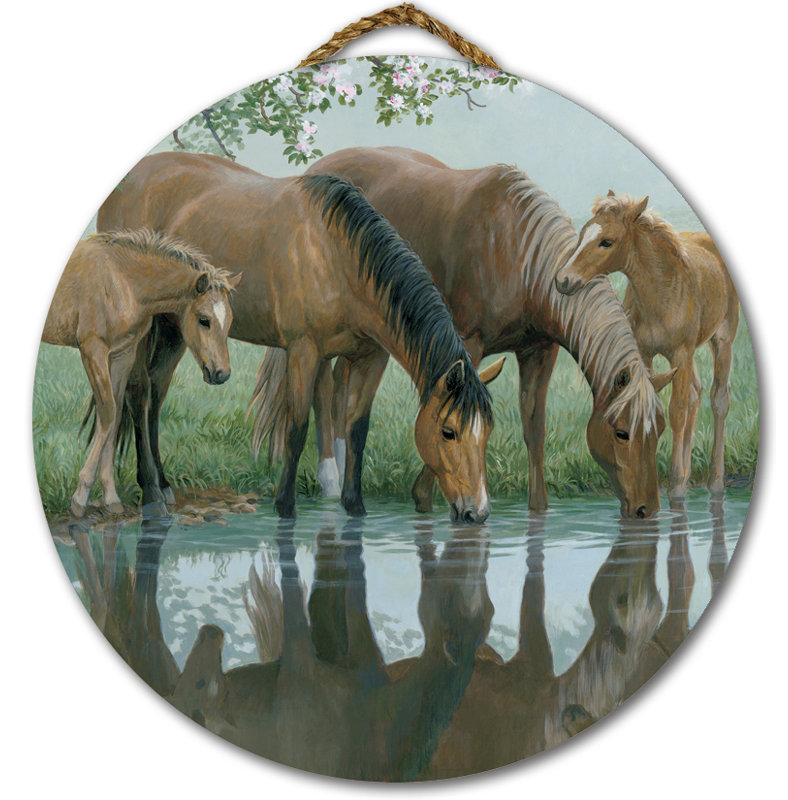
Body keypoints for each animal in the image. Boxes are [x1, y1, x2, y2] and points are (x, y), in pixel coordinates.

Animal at [41, 229, 239, 517]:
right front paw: (79, 498)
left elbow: (113, 418)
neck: (121, 281)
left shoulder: (123, 354)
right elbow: (108, 413)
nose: (222, 374)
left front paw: (111, 497)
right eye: (204, 320)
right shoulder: (92, 349)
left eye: (230, 321)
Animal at [97, 152, 505, 522]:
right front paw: (285, 507)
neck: (337, 257)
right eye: (448, 431)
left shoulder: (371, 357)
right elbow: (297, 428)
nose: (478, 512)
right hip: (145, 328)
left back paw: (165, 486)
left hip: (175, 328)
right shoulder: (304, 351)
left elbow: (357, 429)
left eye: (487, 432)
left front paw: (354, 506)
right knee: (138, 393)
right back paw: (151, 493)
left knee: (156, 393)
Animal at [256, 146, 675, 518]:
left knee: (344, 384)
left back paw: (345, 471)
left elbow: (533, 428)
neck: (519, 253)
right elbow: (450, 410)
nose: (646, 509)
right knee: (323, 386)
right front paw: (426, 497)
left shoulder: (539, 351)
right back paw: (329, 477)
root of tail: (315, 169)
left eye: (659, 431)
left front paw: (538, 509)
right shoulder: (466, 343)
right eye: (621, 432)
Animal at [554, 191, 739, 496]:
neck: (661, 292)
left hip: (721, 340)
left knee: (718, 399)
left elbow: (676, 412)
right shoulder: (646, 353)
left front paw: (675, 486)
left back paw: (714, 481)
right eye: (582, 235)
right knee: (695, 393)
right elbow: (649, 403)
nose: (563, 280)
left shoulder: (680, 353)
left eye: (607, 241)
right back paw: (689, 473)